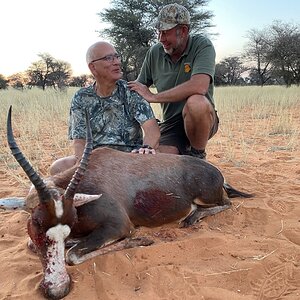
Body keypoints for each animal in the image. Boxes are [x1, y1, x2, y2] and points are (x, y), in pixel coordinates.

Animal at [6, 105, 251, 298]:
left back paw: (191, 218)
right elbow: (34, 245)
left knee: (226, 204)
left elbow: (72, 255)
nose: (58, 289)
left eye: (67, 227)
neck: (89, 180)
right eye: (36, 224)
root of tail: (217, 173)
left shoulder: (118, 225)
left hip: (207, 197)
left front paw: (141, 240)